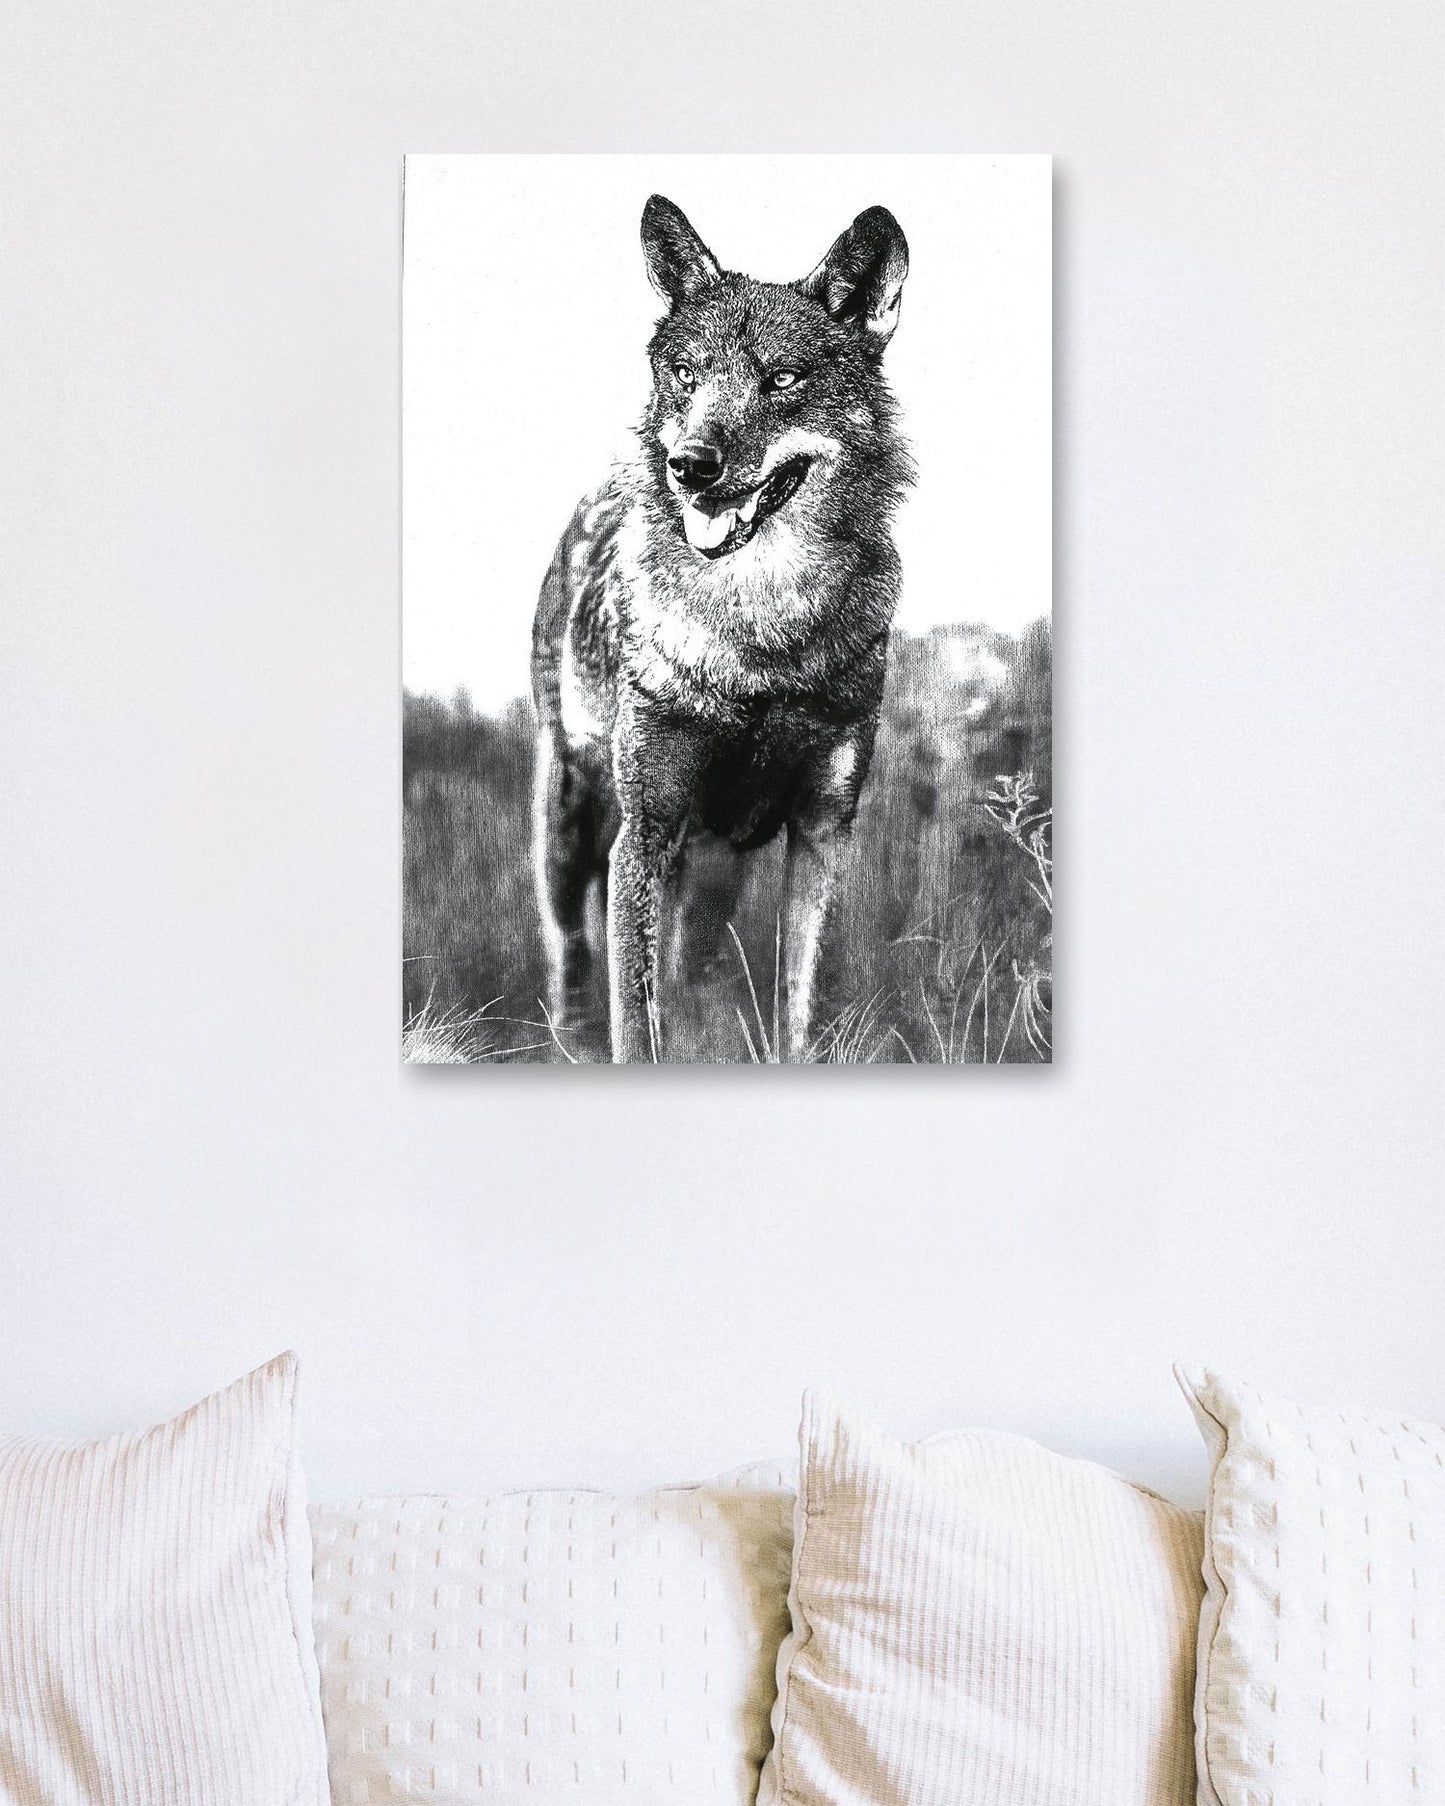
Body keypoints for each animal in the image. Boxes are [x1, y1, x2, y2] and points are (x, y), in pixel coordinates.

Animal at [531, 195, 911, 1063]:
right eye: (687, 376)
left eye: (781, 379)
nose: (691, 467)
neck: (761, 639)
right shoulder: (644, 831)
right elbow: (634, 1026)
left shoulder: (821, 831)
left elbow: (803, 1013)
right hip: (570, 824)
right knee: (570, 965)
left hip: (710, 872)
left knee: (692, 975)